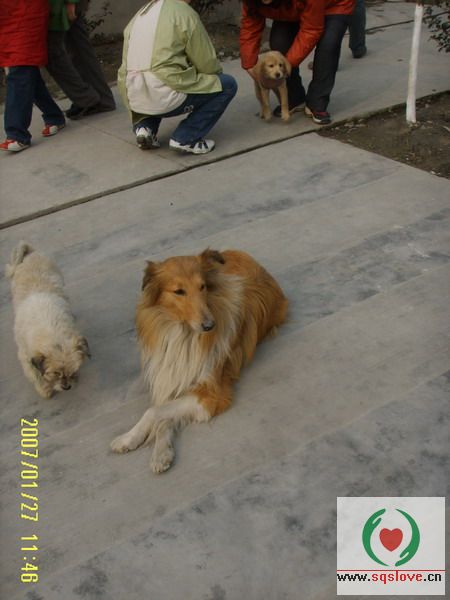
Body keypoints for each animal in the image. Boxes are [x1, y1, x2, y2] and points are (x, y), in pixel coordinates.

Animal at [6, 242, 90, 398]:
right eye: (55, 373)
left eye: (72, 371)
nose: (67, 387)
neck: (50, 330)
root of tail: (30, 253)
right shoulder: (26, 355)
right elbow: (35, 374)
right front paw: (44, 389)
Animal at [111, 249, 288, 473]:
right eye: (179, 291)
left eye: (202, 286)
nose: (209, 325)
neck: (183, 334)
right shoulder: (169, 377)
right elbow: (162, 415)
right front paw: (151, 448)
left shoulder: (211, 394)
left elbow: (155, 412)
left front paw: (135, 441)